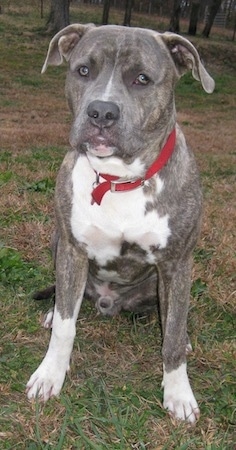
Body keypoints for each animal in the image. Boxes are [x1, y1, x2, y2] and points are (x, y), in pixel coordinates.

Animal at [25, 24, 214, 426]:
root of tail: (109, 303)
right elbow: (65, 326)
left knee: (171, 318)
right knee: (67, 302)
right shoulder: (72, 251)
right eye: (83, 70)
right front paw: (50, 374)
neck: (119, 179)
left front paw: (178, 393)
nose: (101, 111)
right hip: (56, 241)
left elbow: (172, 336)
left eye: (142, 78)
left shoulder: (177, 263)